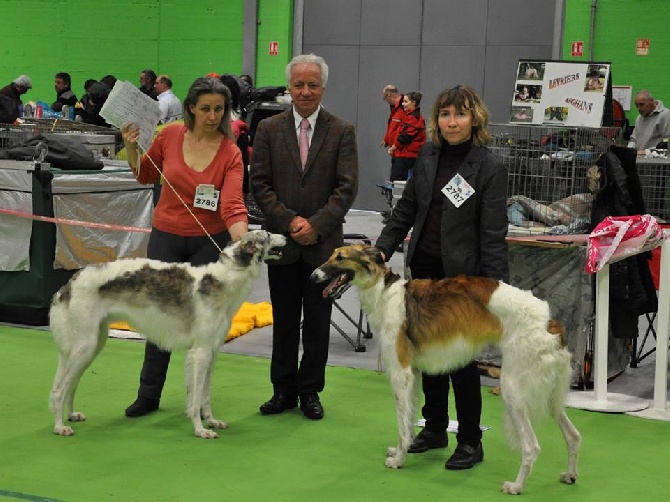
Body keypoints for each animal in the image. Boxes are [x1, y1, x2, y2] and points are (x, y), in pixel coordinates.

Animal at [50, 231, 286, 440]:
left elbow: (205, 396)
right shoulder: (200, 352)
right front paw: (201, 430)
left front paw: (211, 421)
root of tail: (71, 281)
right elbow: (196, 398)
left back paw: (71, 415)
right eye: (267, 234)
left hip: (93, 345)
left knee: (71, 385)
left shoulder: (212, 352)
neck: (225, 277)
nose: (286, 235)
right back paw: (60, 426)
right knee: (59, 390)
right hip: (85, 346)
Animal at [316, 244, 584, 494]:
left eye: (340, 257)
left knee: (531, 447)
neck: (384, 292)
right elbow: (409, 419)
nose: (313, 275)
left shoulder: (401, 373)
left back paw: (516, 486)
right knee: (573, 435)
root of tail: (550, 323)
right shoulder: (413, 373)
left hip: (513, 388)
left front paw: (398, 460)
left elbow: (402, 424)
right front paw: (405, 448)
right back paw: (570, 475)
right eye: (331, 254)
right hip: (550, 394)